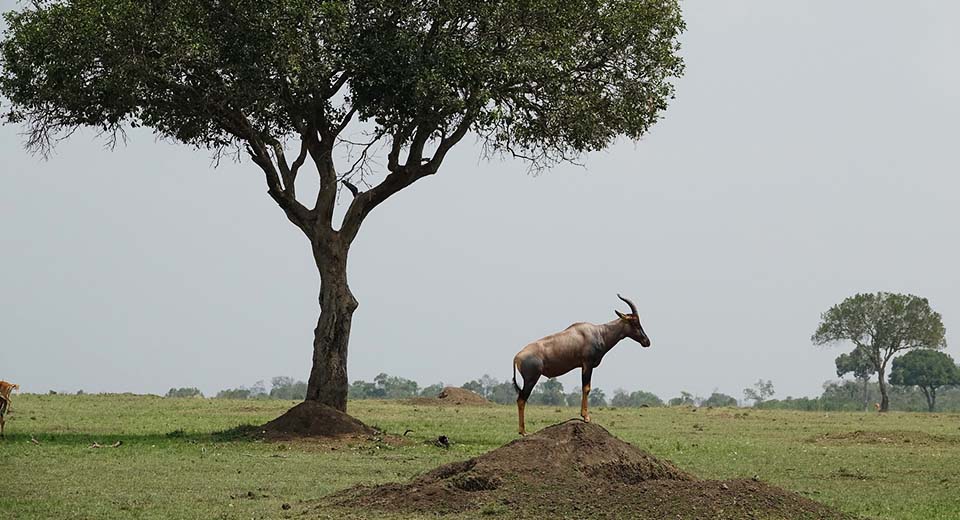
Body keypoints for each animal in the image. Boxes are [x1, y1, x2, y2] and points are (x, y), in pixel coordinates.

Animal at [510, 296, 652, 434]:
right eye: (634, 322)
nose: (647, 341)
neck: (598, 332)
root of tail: (517, 357)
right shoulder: (587, 364)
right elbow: (586, 388)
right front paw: (586, 417)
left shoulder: (584, 366)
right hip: (531, 379)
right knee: (521, 400)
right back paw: (523, 432)